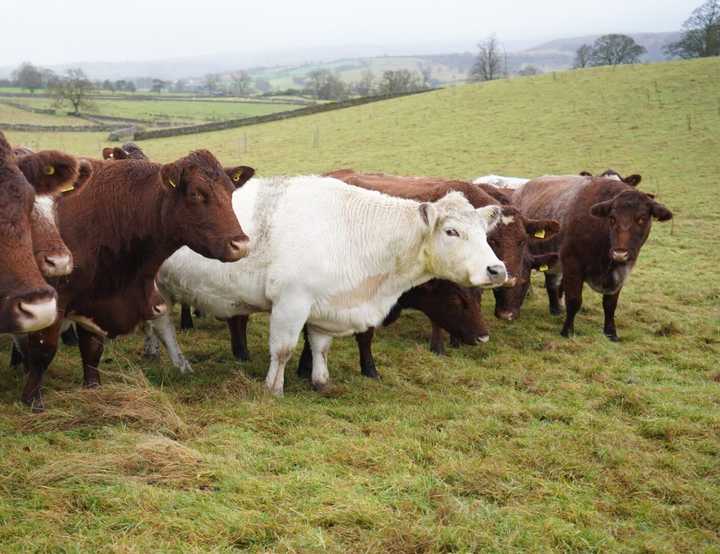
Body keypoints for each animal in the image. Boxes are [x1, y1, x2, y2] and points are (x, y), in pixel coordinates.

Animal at [17, 150, 251, 410]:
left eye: (231, 192)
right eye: (196, 194)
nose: (240, 244)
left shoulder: (94, 298)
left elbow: (91, 348)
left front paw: (93, 387)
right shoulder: (55, 302)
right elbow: (44, 350)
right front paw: (32, 399)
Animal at [145, 175, 508, 395]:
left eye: (484, 232)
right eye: (451, 231)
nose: (497, 269)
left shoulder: (325, 305)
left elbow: (320, 346)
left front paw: (321, 381)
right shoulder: (291, 301)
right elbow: (283, 349)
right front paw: (273, 389)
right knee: (164, 325)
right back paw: (180, 363)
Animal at [512, 175, 672, 340]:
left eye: (641, 219)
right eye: (612, 218)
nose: (620, 253)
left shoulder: (621, 273)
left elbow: (610, 304)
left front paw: (610, 332)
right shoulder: (572, 264)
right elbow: (574, 300)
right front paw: (567, 330)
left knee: (551, 281)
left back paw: (555, 309)